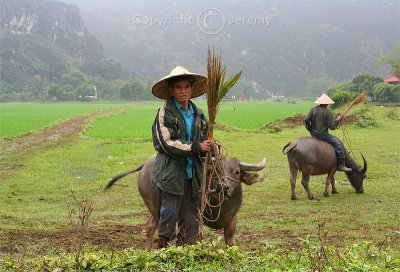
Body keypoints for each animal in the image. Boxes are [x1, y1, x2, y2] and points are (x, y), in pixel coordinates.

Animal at [105, 154, 266, 248]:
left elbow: (230, 241)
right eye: (214, 171)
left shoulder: (232, 218)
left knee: (150, 225)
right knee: (159, 226)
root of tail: (145, 165)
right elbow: (196, 236)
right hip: (157, 206)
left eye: (237, 172)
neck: (220, 205)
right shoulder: (197, 216)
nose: (223, 187)